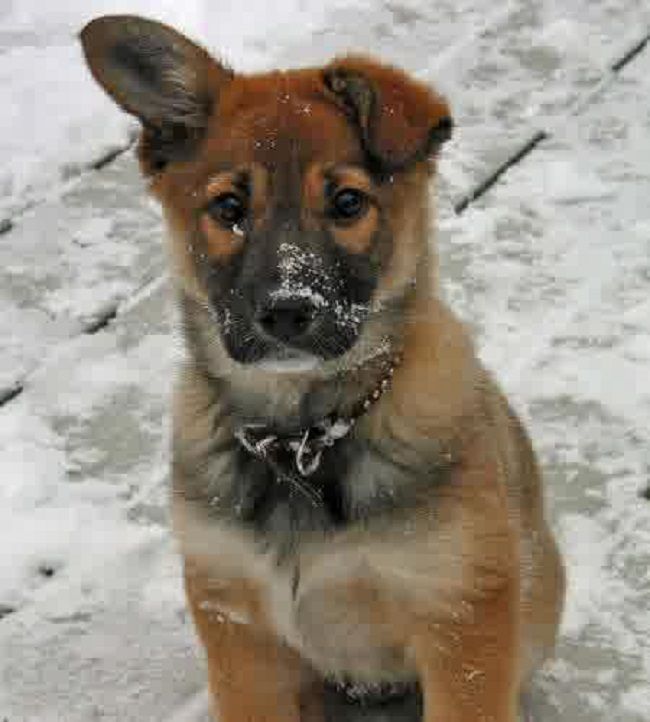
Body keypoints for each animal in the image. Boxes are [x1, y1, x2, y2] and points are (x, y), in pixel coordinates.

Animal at [78, 16, 560, 720]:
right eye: (228, 209)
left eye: (348, 202)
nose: (286, 311)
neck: (302, 440)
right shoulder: (237, 622)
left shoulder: (460, 619)